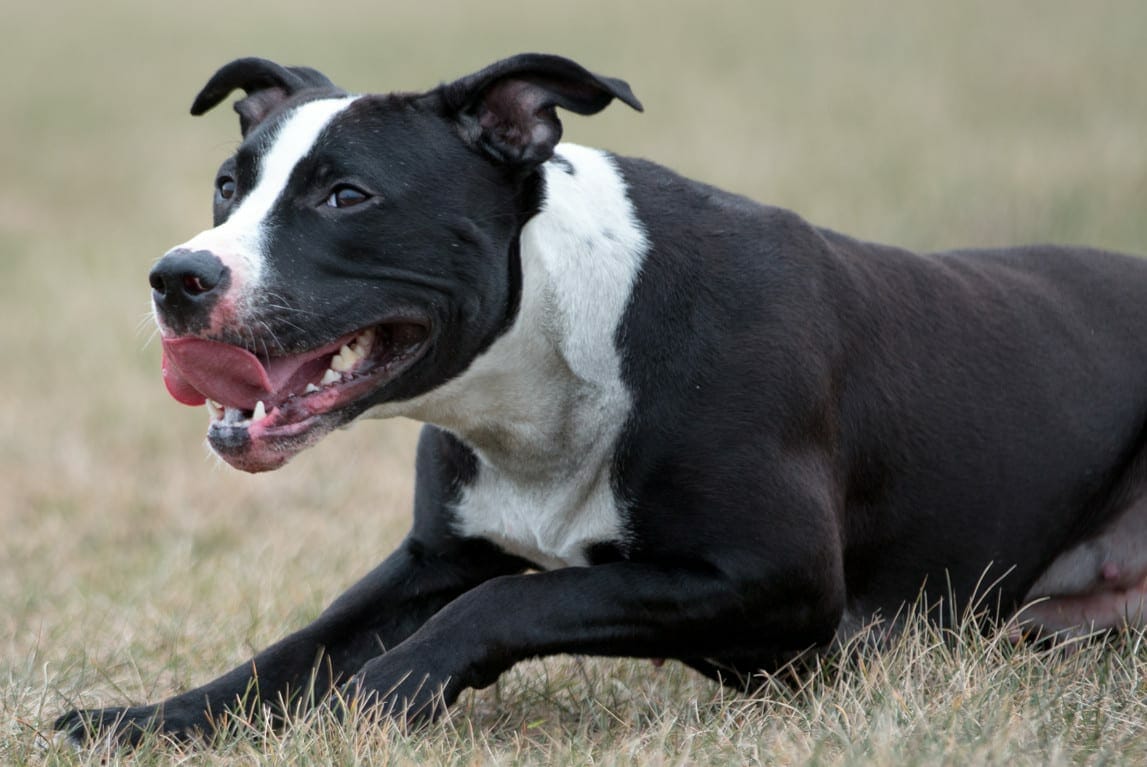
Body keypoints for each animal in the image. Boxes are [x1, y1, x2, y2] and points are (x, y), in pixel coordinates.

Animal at [58, 52, 1147, 742]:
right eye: (227, 185)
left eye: (347, 196)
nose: (179, 276)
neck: (553, 350)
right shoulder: (431, 555)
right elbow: (294, 649)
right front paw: (148, 719)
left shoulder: (777, 576)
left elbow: (517, 595)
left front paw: (385, 691)